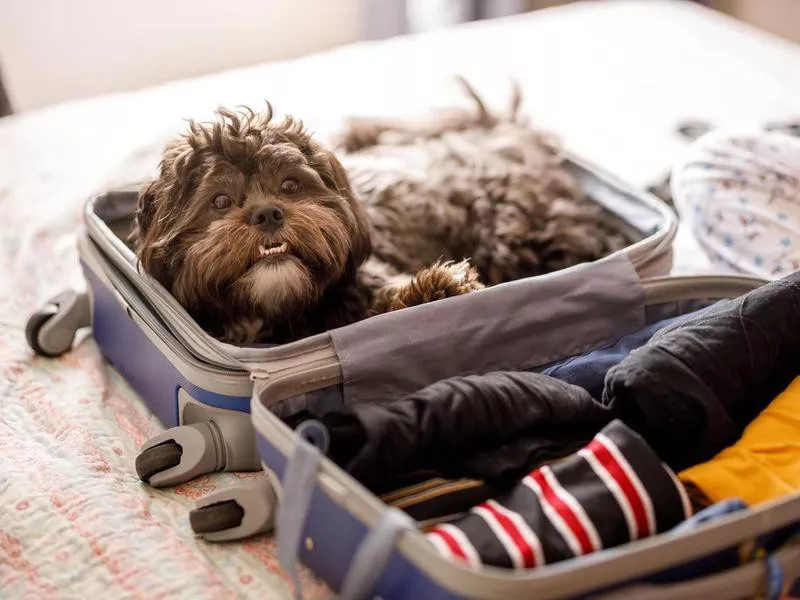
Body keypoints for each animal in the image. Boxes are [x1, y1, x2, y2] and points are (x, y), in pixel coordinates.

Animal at [133, 79, 624, 342]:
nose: (268, 213)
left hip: (519, 229)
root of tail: (504, 128)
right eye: (219, 201)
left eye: (290, 186)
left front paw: (439, 288)